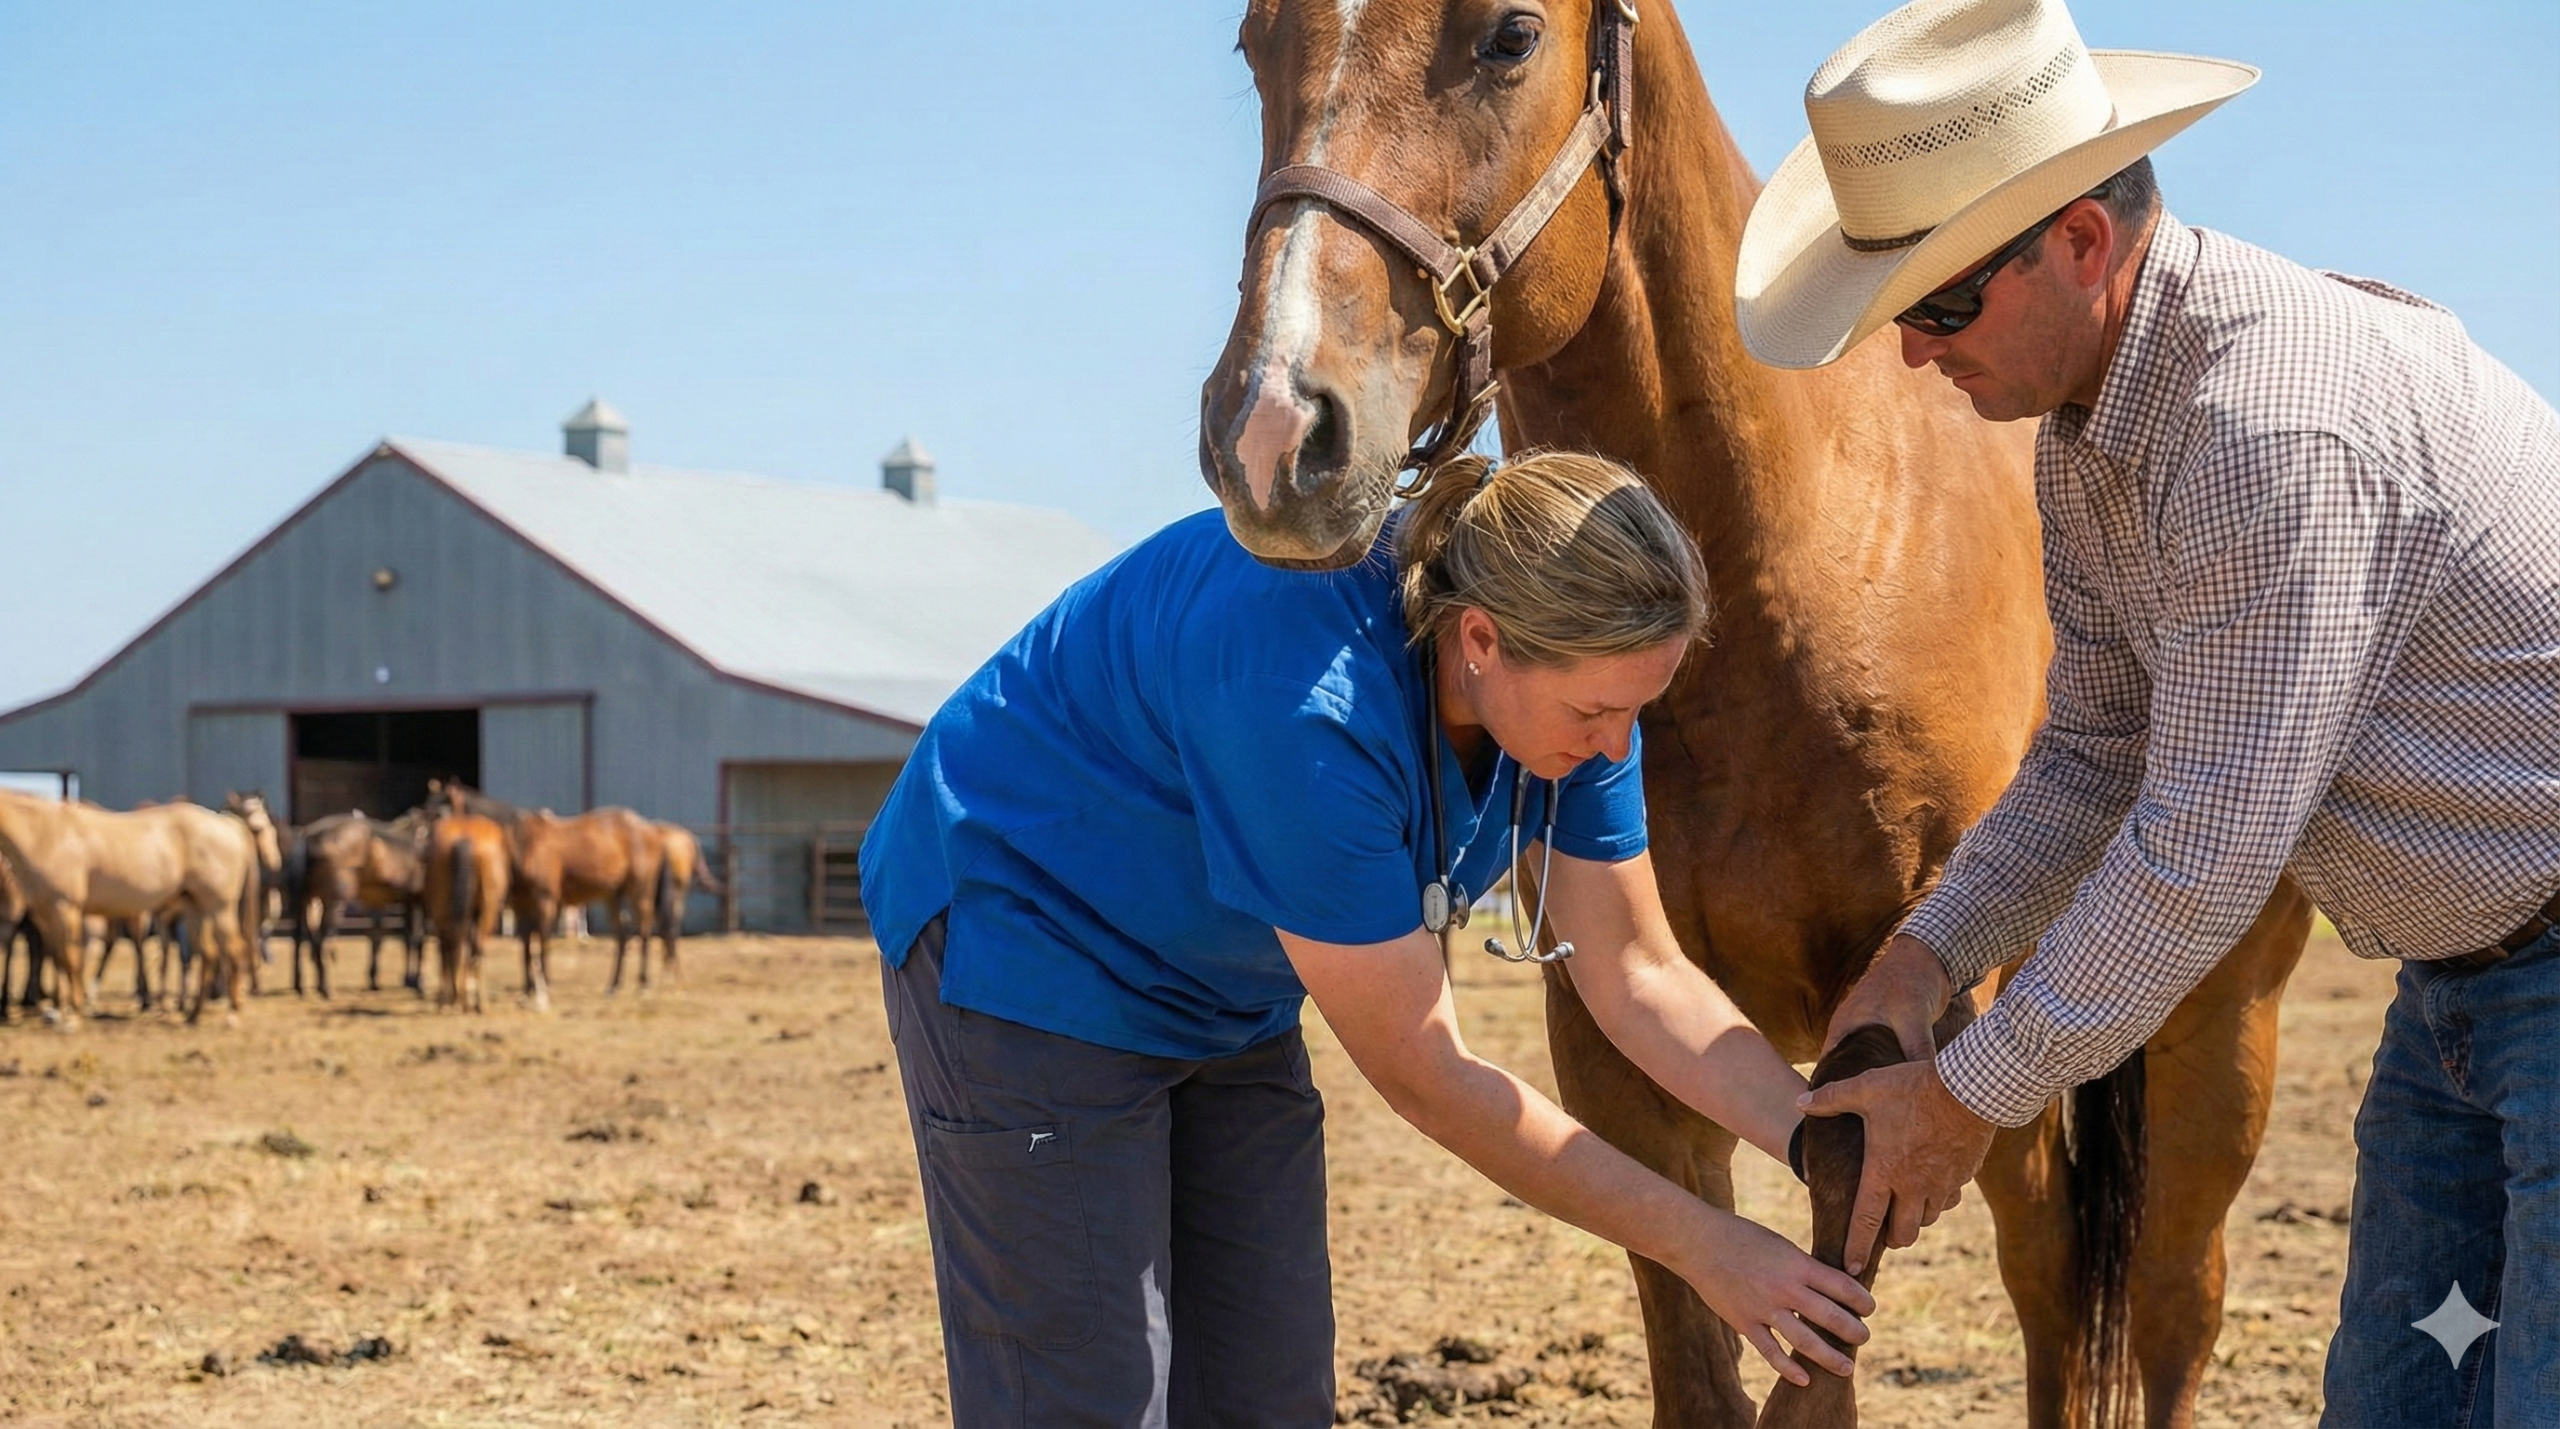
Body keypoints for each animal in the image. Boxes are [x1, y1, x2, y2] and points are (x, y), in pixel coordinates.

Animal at [0, 791, 267, 1026]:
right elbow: (58, 959)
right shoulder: (46, 913)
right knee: (208, 954)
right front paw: (59, 1011)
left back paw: (232, 1015)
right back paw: (193, 1016)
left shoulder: (65, 909)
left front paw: (72, 1017)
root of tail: (227, 824)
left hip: (220, 908)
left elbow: (71, 959)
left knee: (233, 950)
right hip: (195, 910)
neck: (45, 834)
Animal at [422, 812, 509, 1014]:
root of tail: (466, 838)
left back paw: (456, 1001)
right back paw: (477, 1002)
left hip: (446, 913)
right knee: (473, 948)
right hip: (487, 912)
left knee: (456, 947)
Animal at [1198, 5, 2310, 1425]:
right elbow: (1699, 1348)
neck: (1789, 544)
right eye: (1253, 45)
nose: (1275, 432)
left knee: (2149, 1297)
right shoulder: (1618, 1043)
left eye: (1509, 37)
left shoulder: (1903, 1040)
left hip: (2210, 1026)